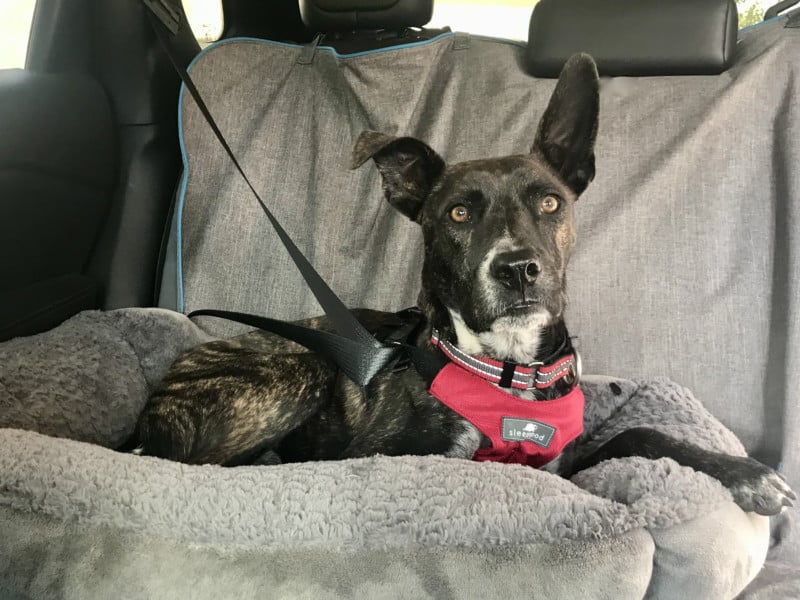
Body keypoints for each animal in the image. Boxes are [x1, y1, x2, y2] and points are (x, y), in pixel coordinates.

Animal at [131, 55, 792, 516]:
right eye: (457, 214)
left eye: (550, 202)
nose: (517, 268)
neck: (510, 371)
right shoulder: (396, 455)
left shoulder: (566, 455)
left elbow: (639, 429)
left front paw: (745, 474)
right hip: (297, 371)